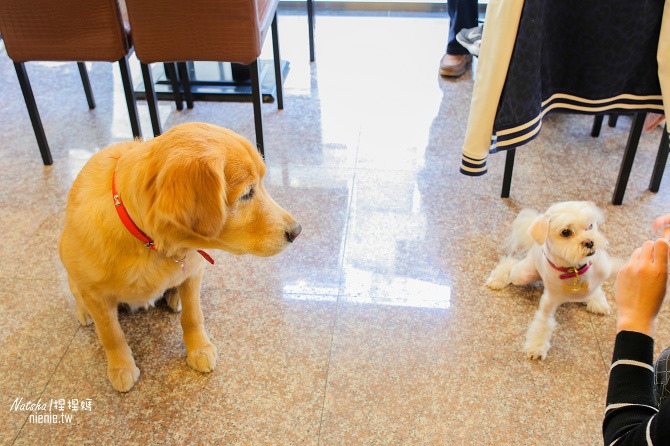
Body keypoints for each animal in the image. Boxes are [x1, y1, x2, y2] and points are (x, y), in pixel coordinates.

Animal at [488, 201, 616, 358]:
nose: (590, 242)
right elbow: (543, 324)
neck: (574, 270)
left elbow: (597, 287)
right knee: (512, 263)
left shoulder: (601, 268)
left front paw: (596, 299)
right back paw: (497, 278)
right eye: (566, 232)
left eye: (590, 225)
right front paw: (536, 347)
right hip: (523, 274)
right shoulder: (548, 303)